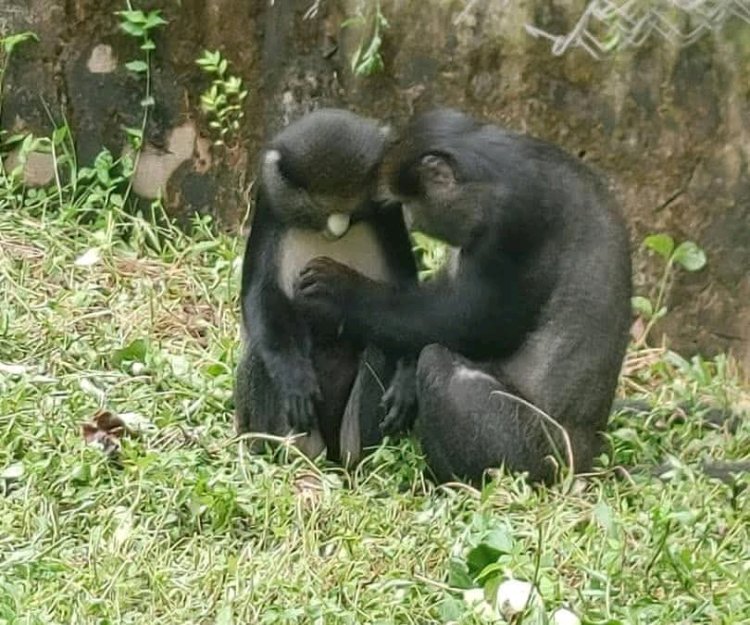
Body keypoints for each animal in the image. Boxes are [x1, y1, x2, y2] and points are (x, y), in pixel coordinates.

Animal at [234, 108, 418, 466]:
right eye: (317, 204)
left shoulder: (388, 212)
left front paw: (406, 381)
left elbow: (407, 294)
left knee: (380, 345)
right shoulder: (269, 205)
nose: (338, 227)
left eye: (353, 202)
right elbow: (259, 294)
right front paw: (294, 379)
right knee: (259, 353)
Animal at [295, 108, 633, 484]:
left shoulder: (512, 222)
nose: (409, 218)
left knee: (439, 363)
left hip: (532, 452)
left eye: (410, 201)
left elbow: (471, 323)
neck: (495, 171)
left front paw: (341, 292)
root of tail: (587, 458)